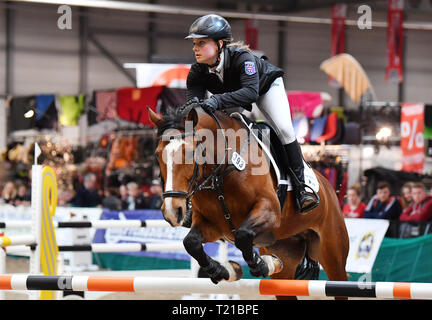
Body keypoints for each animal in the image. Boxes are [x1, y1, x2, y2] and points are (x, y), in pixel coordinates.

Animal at [147, 103, 350, 300]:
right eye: (157, 155)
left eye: (190, 153)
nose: (172, 212)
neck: (220, 171)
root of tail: (328, 186)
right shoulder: (213, 225)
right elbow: (191, 242)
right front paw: (220, 270)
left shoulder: (269, 211)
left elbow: (243, 235)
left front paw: (261, 265)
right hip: (286, 252)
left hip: (333, 255)